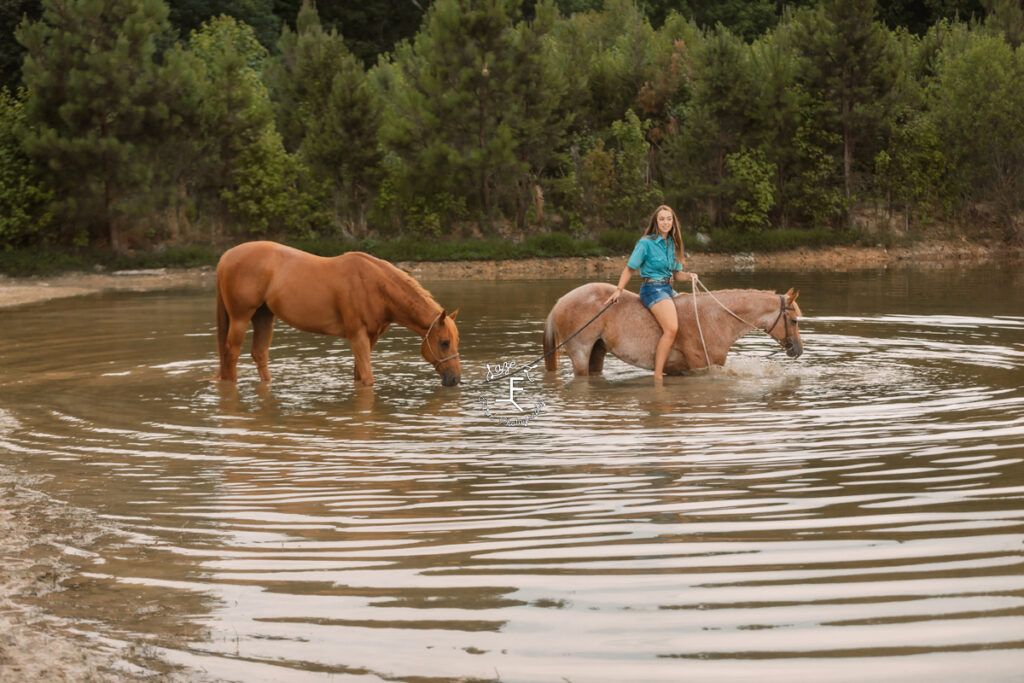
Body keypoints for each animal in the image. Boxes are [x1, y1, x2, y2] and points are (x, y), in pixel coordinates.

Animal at [211, 242, 460, 387]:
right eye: (444, 342)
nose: (455, 379)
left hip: (264, 316)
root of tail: (226, 256)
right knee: (231, 355)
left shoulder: (370, 338)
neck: (374, 285)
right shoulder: (357, 335)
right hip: (240, 319)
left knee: (259, 354)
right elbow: (368, 378)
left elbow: (359, 376)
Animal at [544, 284, 798, 378]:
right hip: (580, 353)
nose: (798, 350)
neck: (716, 318)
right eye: (795, 320)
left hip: (597, 352)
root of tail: (559, 302)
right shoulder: (701, 367)